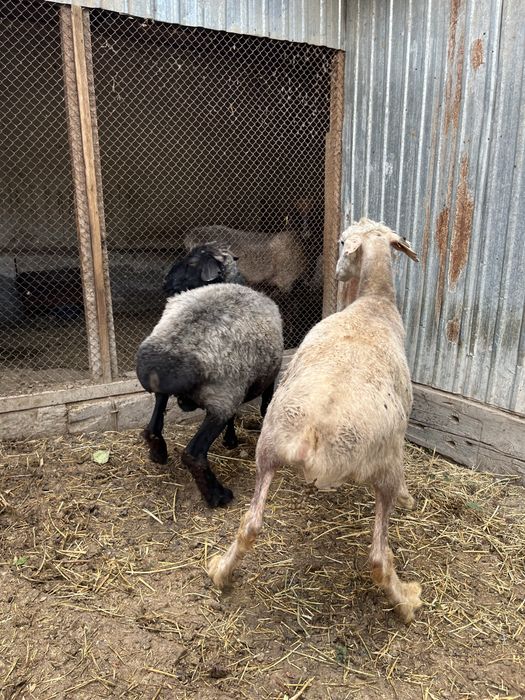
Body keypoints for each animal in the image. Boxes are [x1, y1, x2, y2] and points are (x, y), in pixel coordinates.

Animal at [136, 246, 283, 508]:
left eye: (191, 262)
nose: (165, 283)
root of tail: (159, 364)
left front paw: (230, 441)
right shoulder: (265, 377)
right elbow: (265, 406)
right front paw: (235, 440)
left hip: (171, 392)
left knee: (153, 427)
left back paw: (158, 454)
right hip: (221, 398)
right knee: (194, 454)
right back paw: (217, 496)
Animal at [207, 217, 423, 622]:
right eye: (341, 241)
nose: (337, 273)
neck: (375, 301)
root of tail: (314, 430)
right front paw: (408, 498)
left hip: (268, 449)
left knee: (250, 525)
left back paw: (220, 571)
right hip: (383, 467)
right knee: (377, 556)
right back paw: (406, 600)